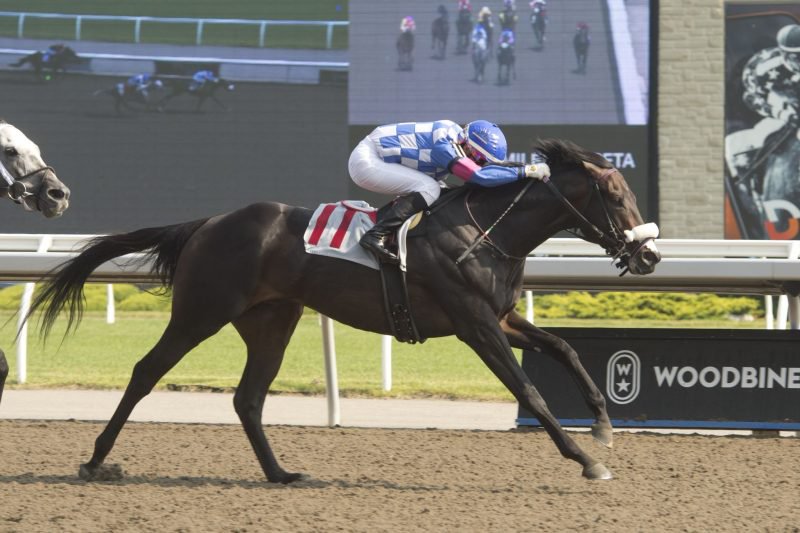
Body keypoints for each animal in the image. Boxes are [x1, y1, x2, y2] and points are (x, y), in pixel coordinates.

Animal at [26, 139, 664, 484]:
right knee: (146, 372)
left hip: (272, 320)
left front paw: (603, 424)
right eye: (614, 196)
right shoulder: (474, 325)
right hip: (202, 311)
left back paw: (281, 474)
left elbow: (564, 346)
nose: (650, 254)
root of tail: (208, 222)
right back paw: (95, 460)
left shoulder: (502, 317)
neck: (485, 230)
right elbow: (528, 391)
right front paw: (586, 460)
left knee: (248, 398)